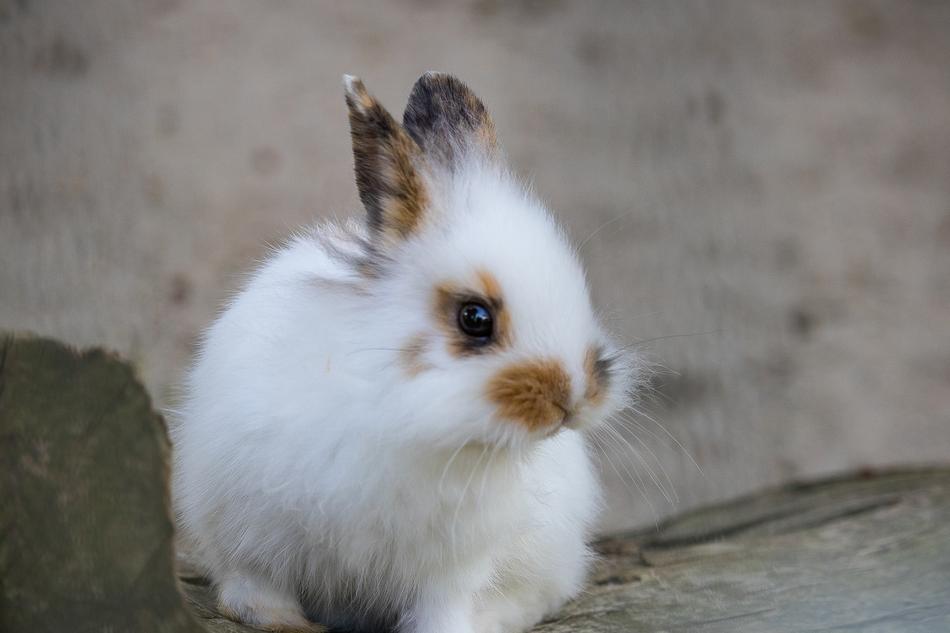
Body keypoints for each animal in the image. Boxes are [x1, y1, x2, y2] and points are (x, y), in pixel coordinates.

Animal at [171, 72, 639, 633]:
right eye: (475, 318)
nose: (570, 401)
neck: (395, 406)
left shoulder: (454, 562)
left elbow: (443, 603)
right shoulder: (250, 528)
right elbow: (257, 584)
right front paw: (281, 621)